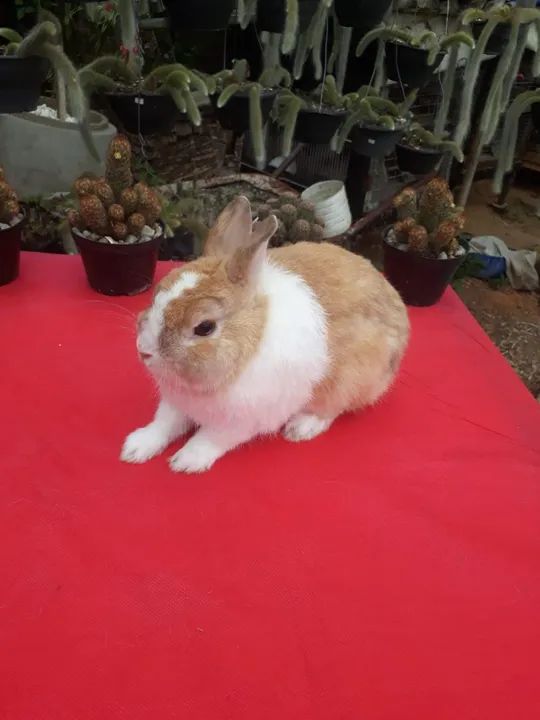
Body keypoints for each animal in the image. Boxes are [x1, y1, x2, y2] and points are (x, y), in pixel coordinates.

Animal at [121, 195, 409, 473]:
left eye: (204, 327)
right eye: (157, 295)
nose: (143, 351)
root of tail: (397, 307)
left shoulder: (243, 420)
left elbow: (210, 438)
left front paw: (186, 461)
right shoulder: (176, 404)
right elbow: (164, 424)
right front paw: (134, 449)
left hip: (351, 377)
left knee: (334, 406)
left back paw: (301, 427)